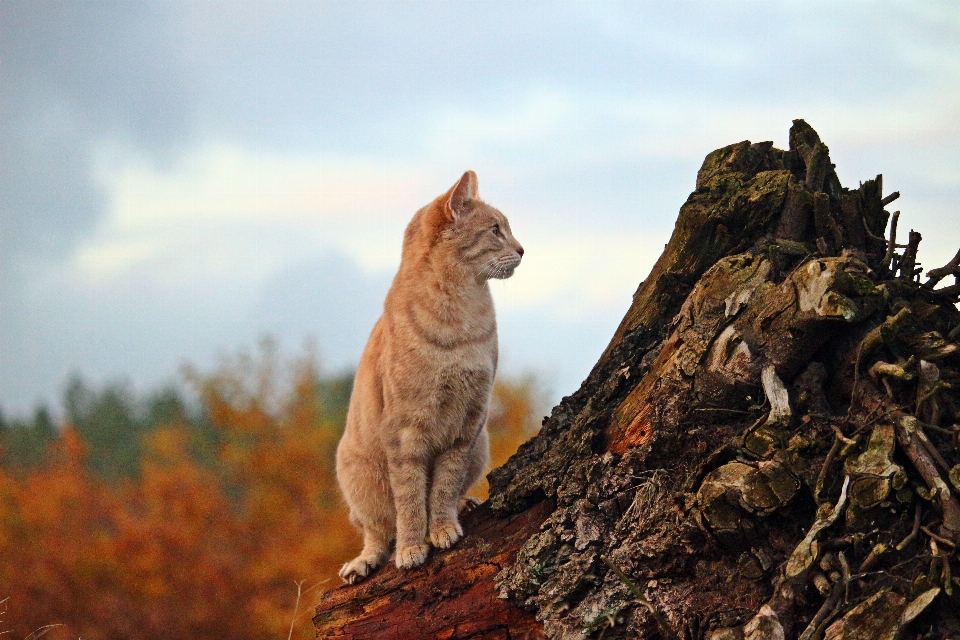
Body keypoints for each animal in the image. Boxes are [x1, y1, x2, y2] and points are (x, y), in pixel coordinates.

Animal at [334, 170, 520, 584]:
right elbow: (409, 500)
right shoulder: (405, 434)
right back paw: (364, 561)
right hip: (357, 476)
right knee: (376, 532)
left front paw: (443, 527)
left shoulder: (468, 424)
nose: (522, 250)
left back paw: (466, 504)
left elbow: (444, 487)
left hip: (480, 444)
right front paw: (412, 547)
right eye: (496, 229)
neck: (459, 317)